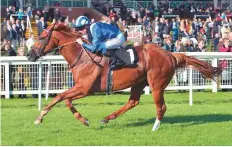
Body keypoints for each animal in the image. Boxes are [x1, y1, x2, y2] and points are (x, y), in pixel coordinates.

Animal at [26, 23, 224, 131]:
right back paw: (107, 118)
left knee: (161, 107)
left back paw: (154, 127)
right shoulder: (83, 89)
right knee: (133, 102)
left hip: (156, 84)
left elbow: (59, 97)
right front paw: (85, 120)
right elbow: (66, 100)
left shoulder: (85, 88)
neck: (82, 56)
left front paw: (39, 117)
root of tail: (170, 54)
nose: (29, 55)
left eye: (42, 37)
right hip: (139, 82)